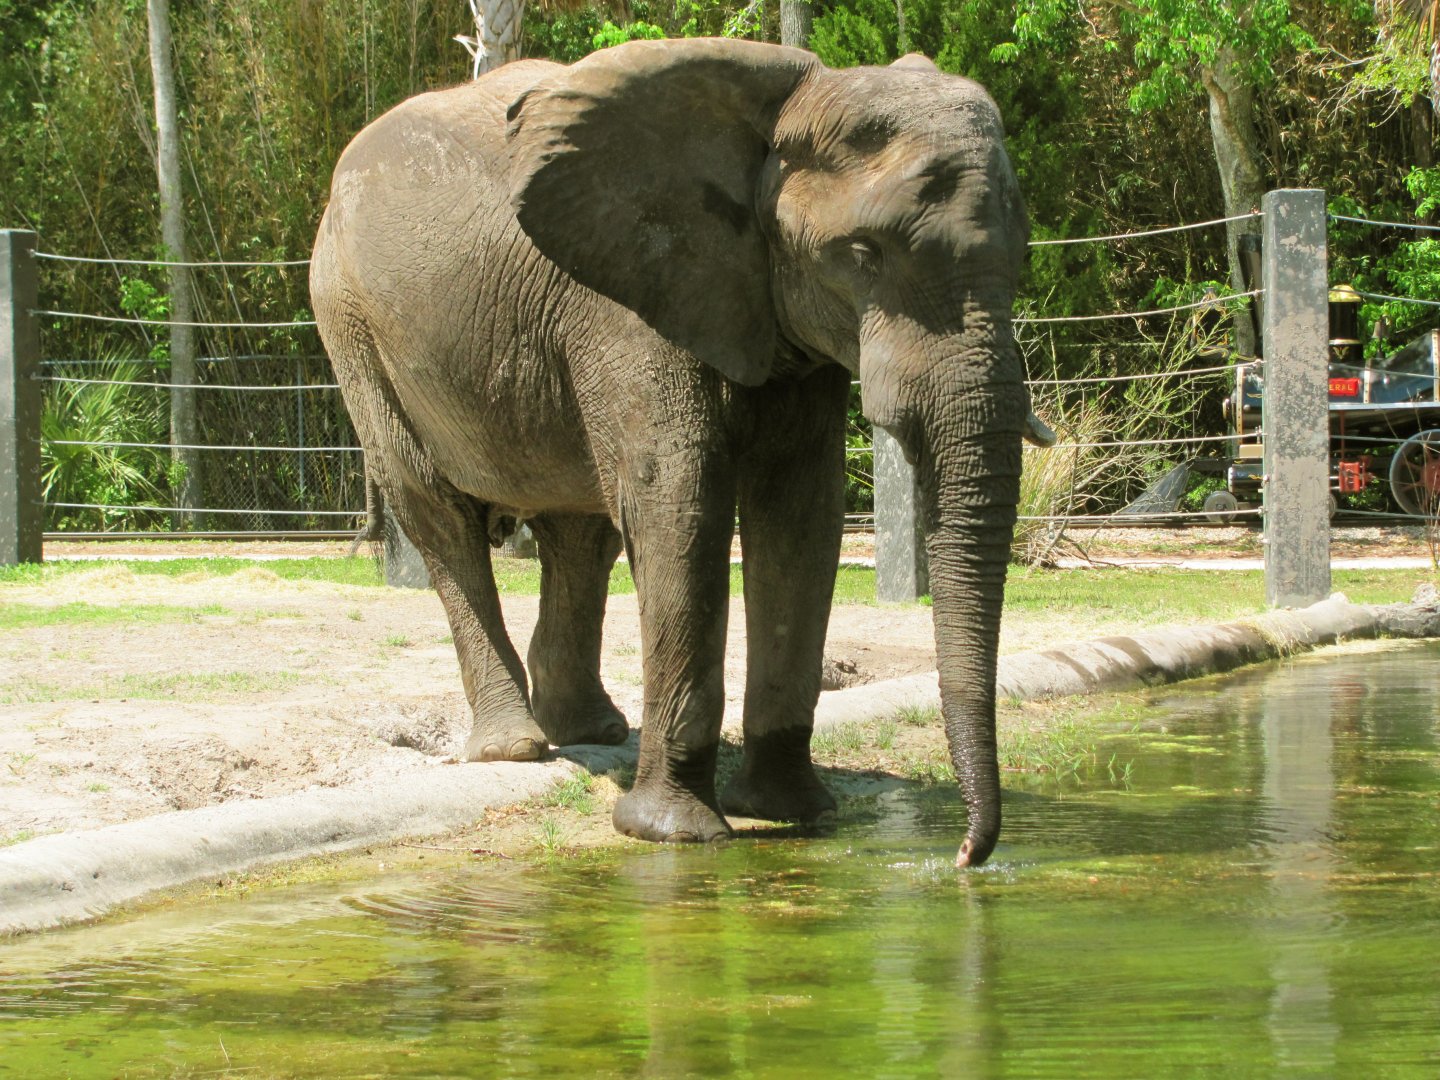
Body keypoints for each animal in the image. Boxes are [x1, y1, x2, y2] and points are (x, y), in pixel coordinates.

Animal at [310, 38, 1048, 867]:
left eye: (1023, 250)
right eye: (862, 252)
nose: (966, 857)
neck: (783, 104)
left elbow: (801, 513)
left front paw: (792, 814)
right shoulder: (630, 301)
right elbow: (680, 500)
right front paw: (673, 833)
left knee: (580, 531)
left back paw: (591, 730)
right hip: (350, 323)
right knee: (438, 518)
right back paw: (515, 748)